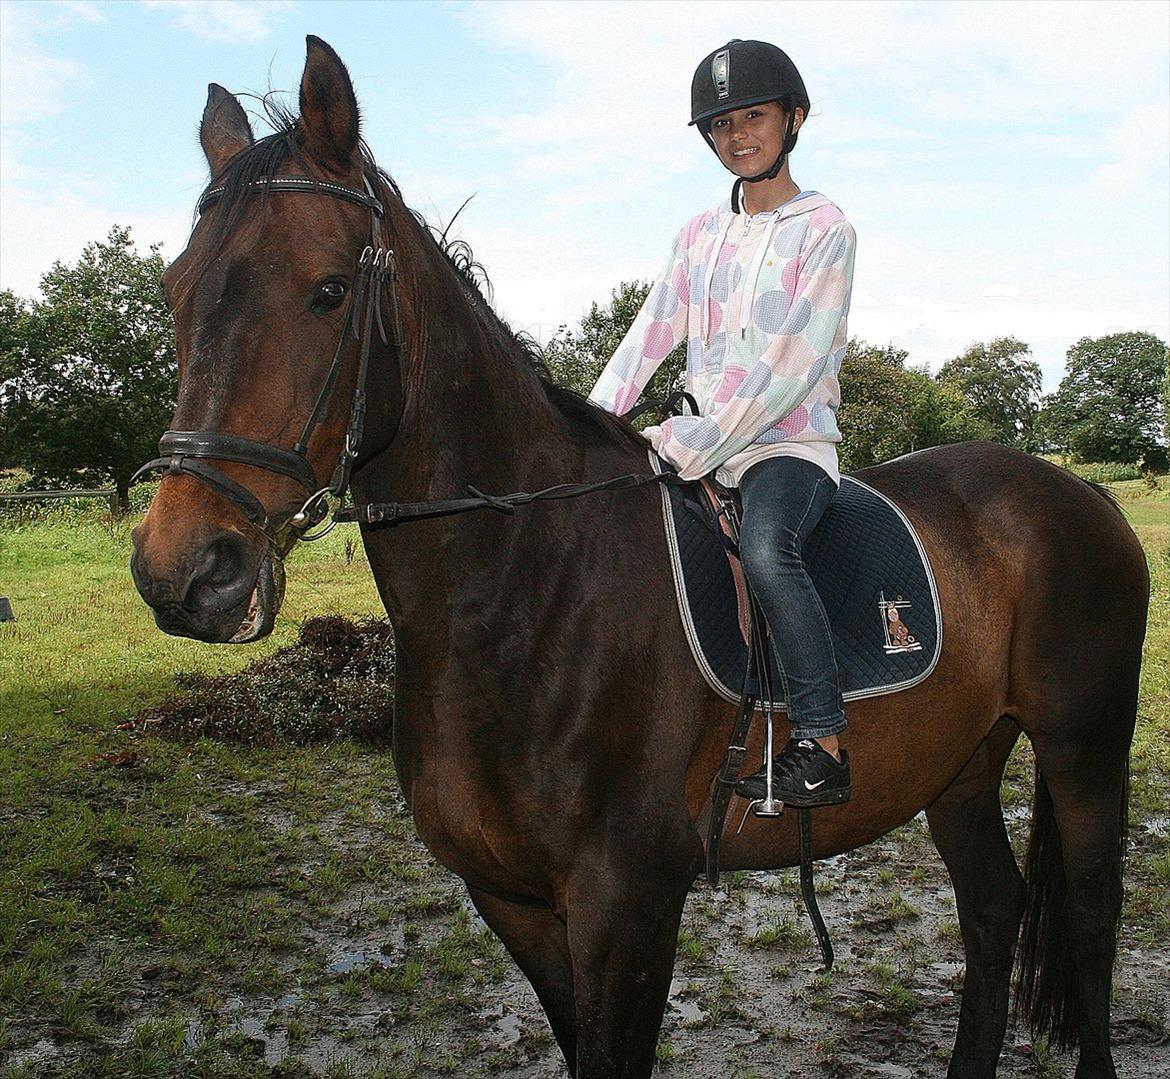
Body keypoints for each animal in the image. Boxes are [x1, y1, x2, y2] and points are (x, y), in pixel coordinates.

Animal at [130, 35, 1151, 1076]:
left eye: (329, 290)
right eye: (175, 289)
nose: (185, 570)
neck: (527, 595)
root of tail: (1081, 491)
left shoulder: (628, 905)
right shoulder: (515, 904)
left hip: (1084, 748)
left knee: (1092, 922)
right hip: (962, 764)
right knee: (993, 910)